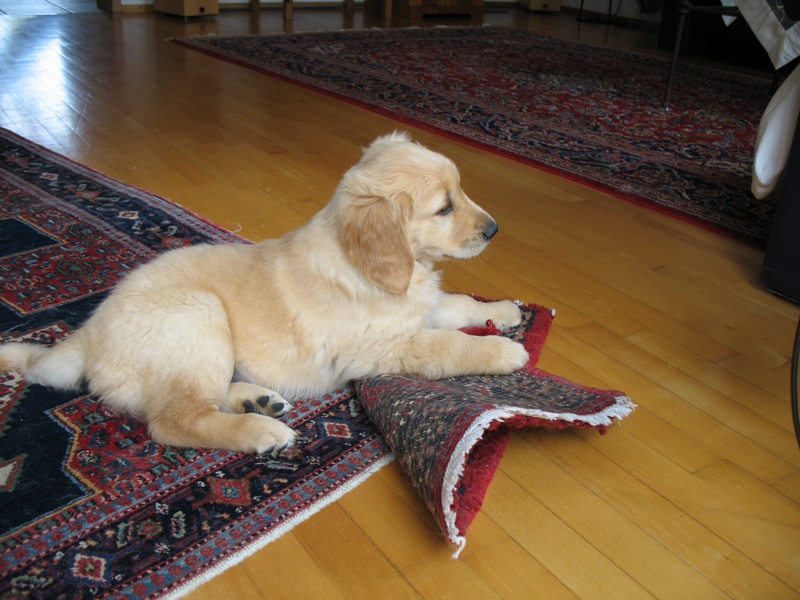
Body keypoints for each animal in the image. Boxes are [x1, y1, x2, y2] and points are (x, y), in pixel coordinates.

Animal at [0, 132, 529, 454]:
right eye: (444, 208)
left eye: (460, 192)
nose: (495, 230)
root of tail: (88, 333)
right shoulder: (383, 348)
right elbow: (449, 344)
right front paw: (503, 351)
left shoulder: (423, 307)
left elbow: (457, 305)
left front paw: (504, 310)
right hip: (198, 317)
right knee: (174, 420)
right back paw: (259, 428)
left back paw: (257, 400)